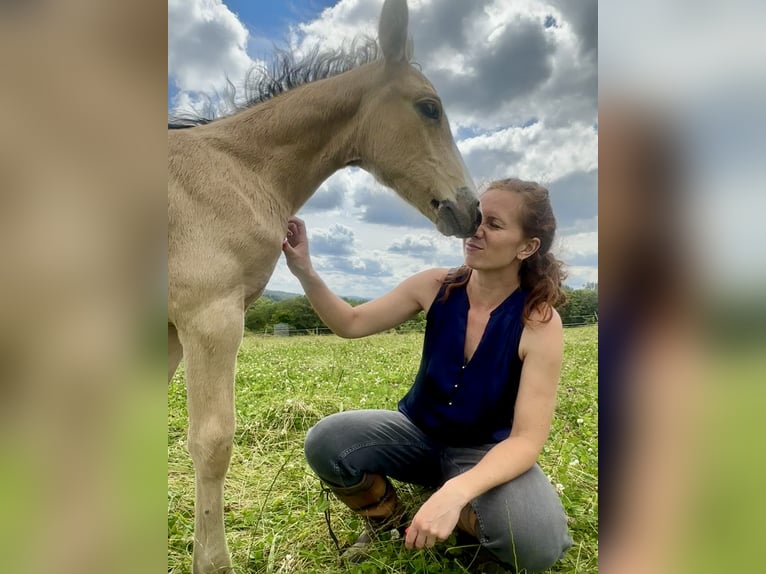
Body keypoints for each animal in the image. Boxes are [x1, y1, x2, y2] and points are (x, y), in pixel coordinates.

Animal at [168, 2, 480, 572]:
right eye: (430, 108)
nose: (472, 209)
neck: (239, 169)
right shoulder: (209, 317)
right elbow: (212, 442)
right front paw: (213, 563)